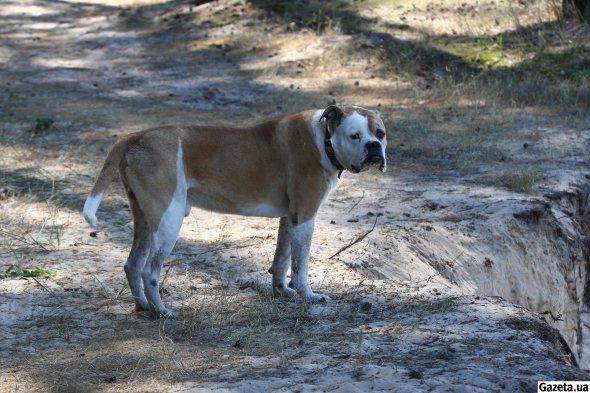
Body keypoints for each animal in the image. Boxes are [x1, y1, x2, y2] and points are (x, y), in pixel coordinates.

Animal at [83, 104, 388, 316]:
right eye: (355, 136)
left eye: (381, 134)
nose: (374, 147)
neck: (324, 140)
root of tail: (136, 136)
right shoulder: (305, 218)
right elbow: (300, 266)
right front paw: (309, 296)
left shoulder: (289, 218)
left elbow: (281, 260)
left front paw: (282, 291)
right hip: (168, 221)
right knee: (150, 271)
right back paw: (163, 311)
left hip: (146, 222)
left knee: (133, 265)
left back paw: (144, 307)